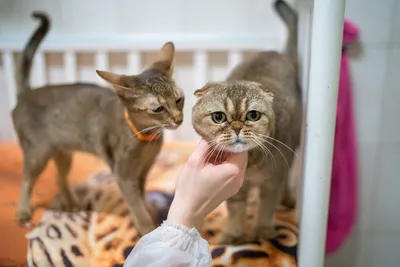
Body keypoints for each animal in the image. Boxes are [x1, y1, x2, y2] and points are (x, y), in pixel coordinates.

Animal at [10, 12, 183, 237]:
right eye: (158, 109)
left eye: (179, 100)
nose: (179, 119)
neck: (145, 139)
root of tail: (26, 94)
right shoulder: (124, 176)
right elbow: (139, 209)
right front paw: (147, 231)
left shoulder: (142, 173)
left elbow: (143, 201)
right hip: (37, 153)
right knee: (26, 179)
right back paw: (23, 211)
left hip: (63, 152)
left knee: (59, 177)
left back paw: (72, 204)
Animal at [192, 0, 302, 245]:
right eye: (218, 117)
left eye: (253, 115)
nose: (236, 128)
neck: (251, 163)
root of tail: (277, 52)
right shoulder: (236, 190)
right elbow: (236, 212)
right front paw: (235, 235)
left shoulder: (273, 181)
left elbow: (267, 208)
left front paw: (264, 232)